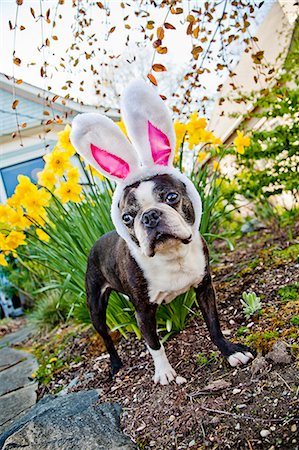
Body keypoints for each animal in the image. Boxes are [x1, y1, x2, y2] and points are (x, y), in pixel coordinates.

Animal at [71, 79, 255, 384]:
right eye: (127, 216)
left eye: (170, 197)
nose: (149, 216)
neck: (172, 255)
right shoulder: (143, 311)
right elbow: (154, 343)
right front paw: (165, 372)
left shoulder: (205, 288)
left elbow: (214, 324)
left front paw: (230, 351)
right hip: (95, 306)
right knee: (106, 337)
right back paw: (115, 365)